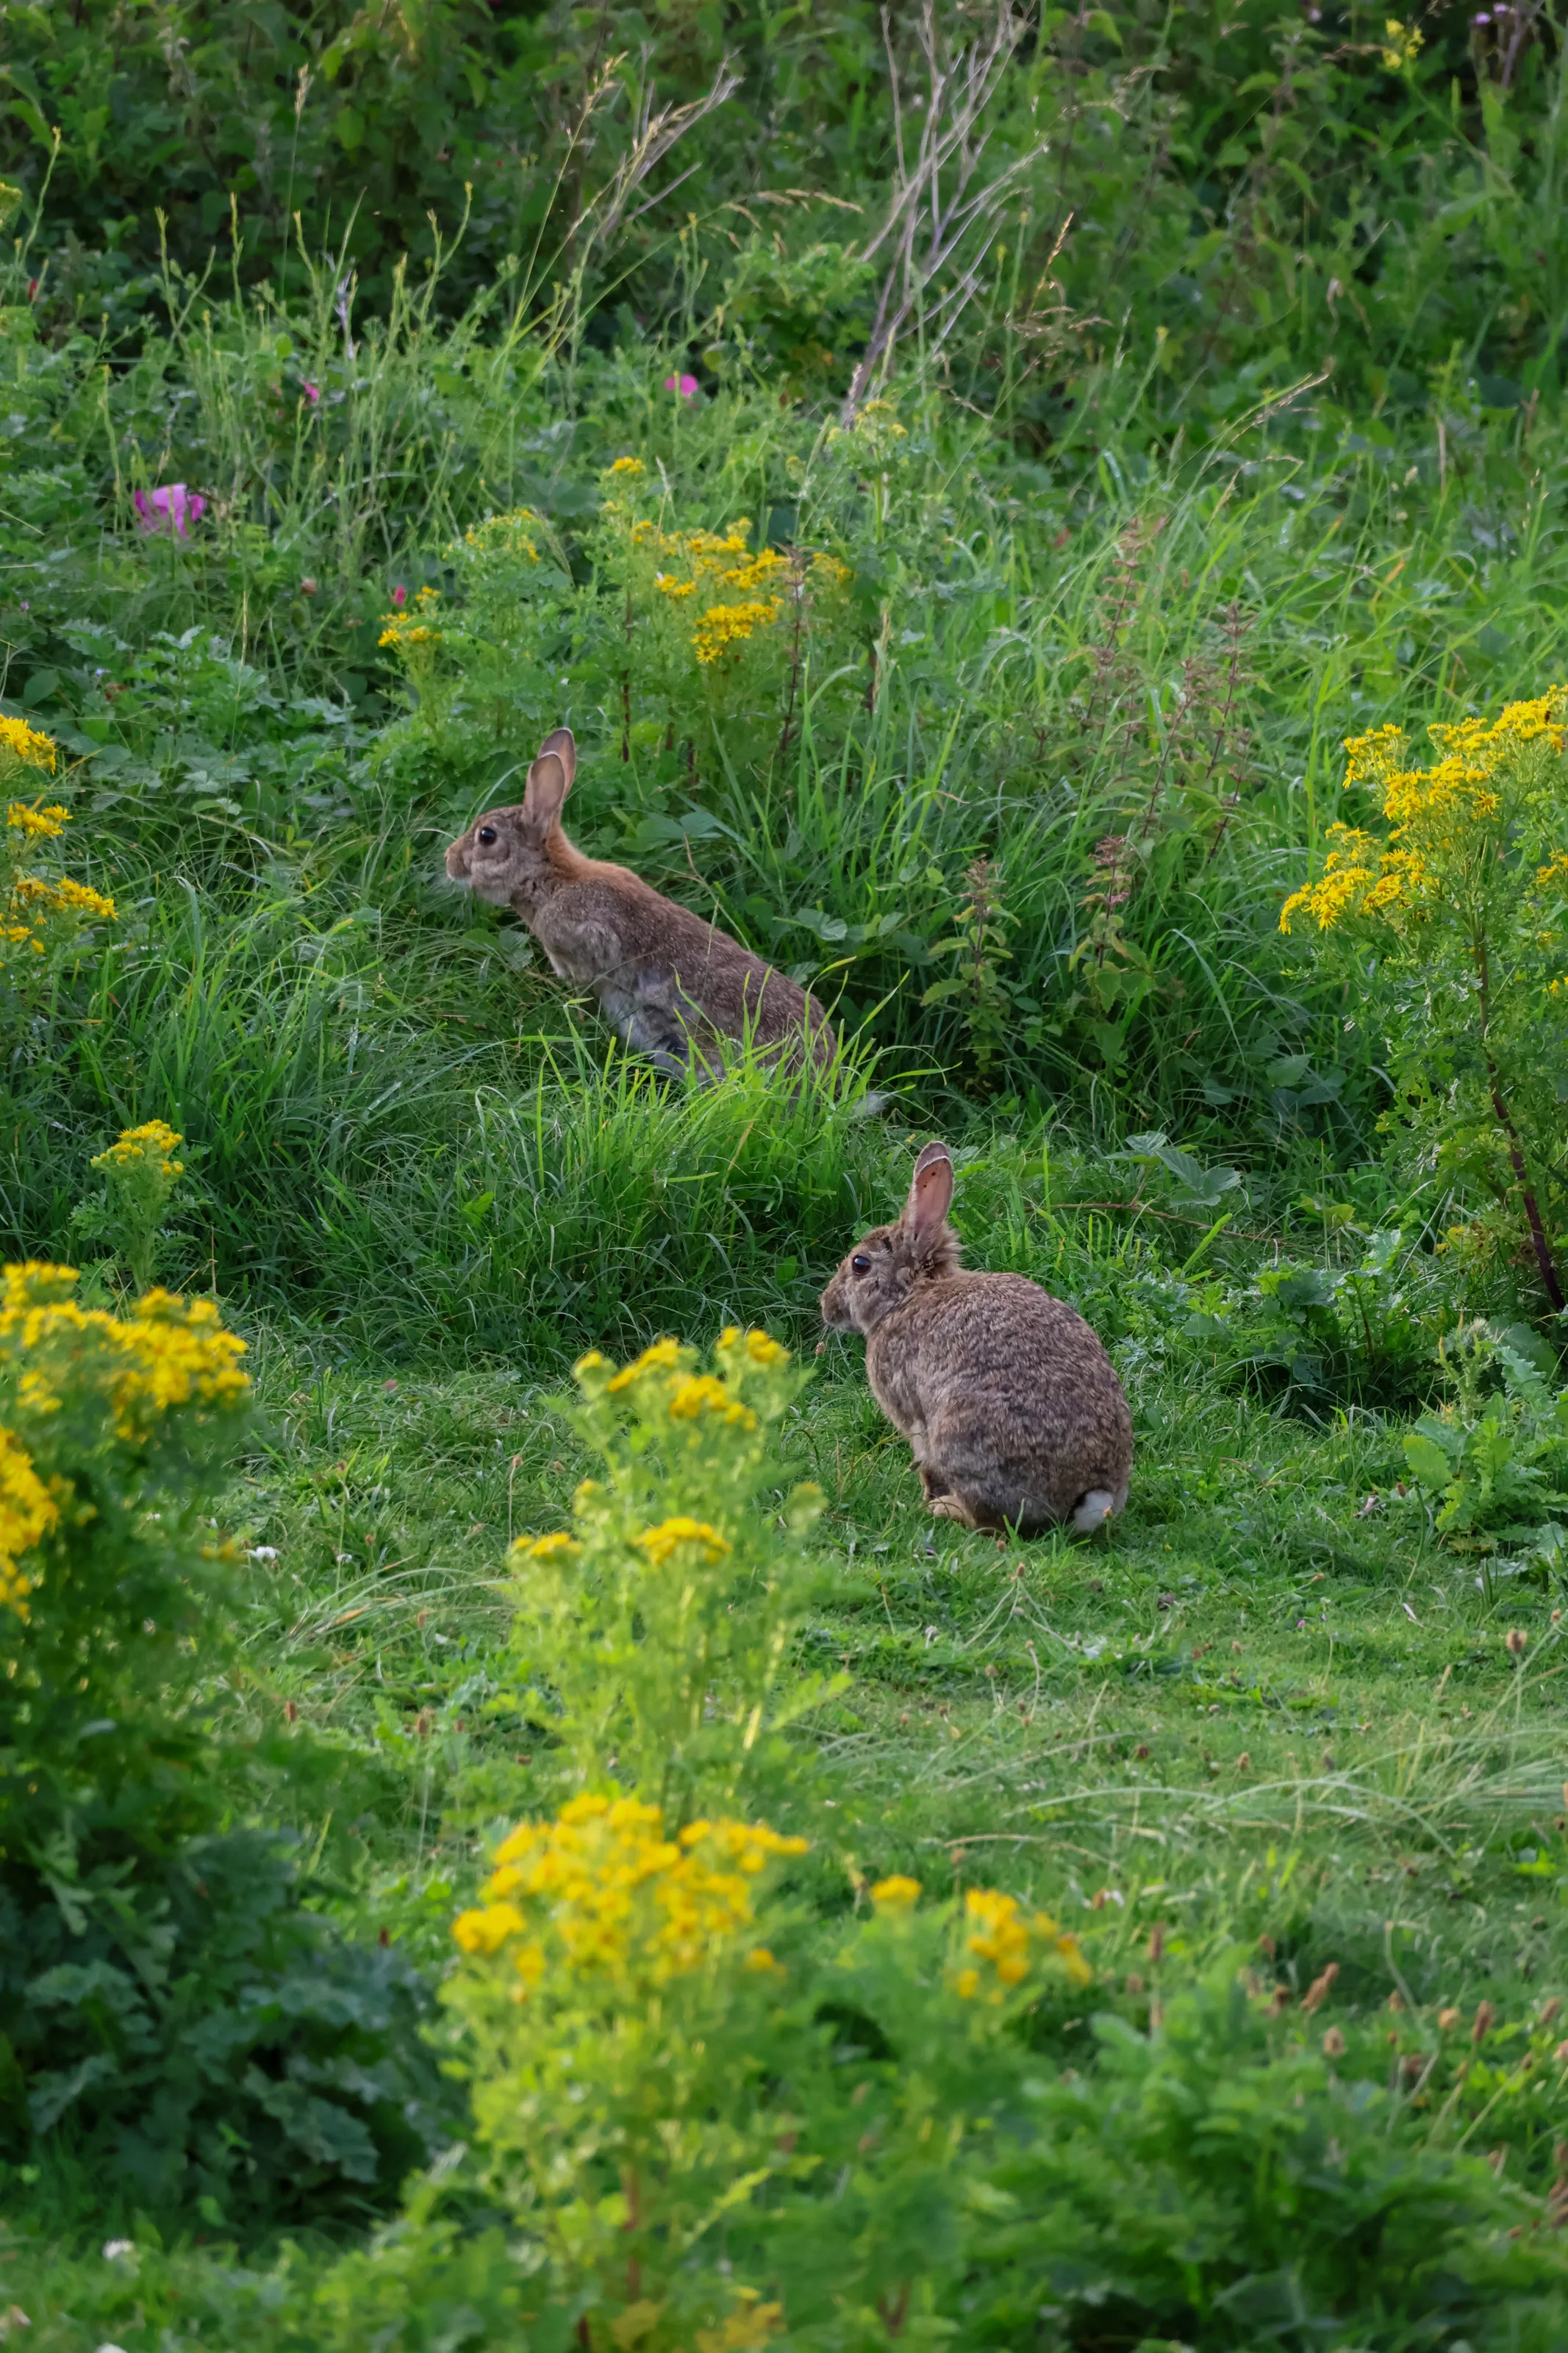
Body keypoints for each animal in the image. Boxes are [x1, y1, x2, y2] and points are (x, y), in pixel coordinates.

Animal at [820, 1140, 1133, 1535]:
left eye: (860, 1265)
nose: (827, 1306)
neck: (908, 1295)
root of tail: (1089, 1493)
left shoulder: (912, 1416)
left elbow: (924, 1462)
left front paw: (926, 1498)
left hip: (960, 1437)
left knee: (990, 1520)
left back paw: (944, 1509)